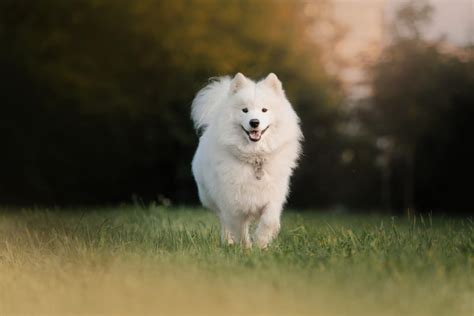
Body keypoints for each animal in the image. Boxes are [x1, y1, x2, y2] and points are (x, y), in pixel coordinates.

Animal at [191, 73, 302, 248]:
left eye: (264, 110)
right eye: (245, 110)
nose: (254, 122)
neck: (255, 159)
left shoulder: (273, 196)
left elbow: (269, 220)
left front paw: (261, 243)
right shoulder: (233, 203)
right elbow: (239, 228)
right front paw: (246, 248)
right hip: (211, 198)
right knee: (224, 221)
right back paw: (227, 242)